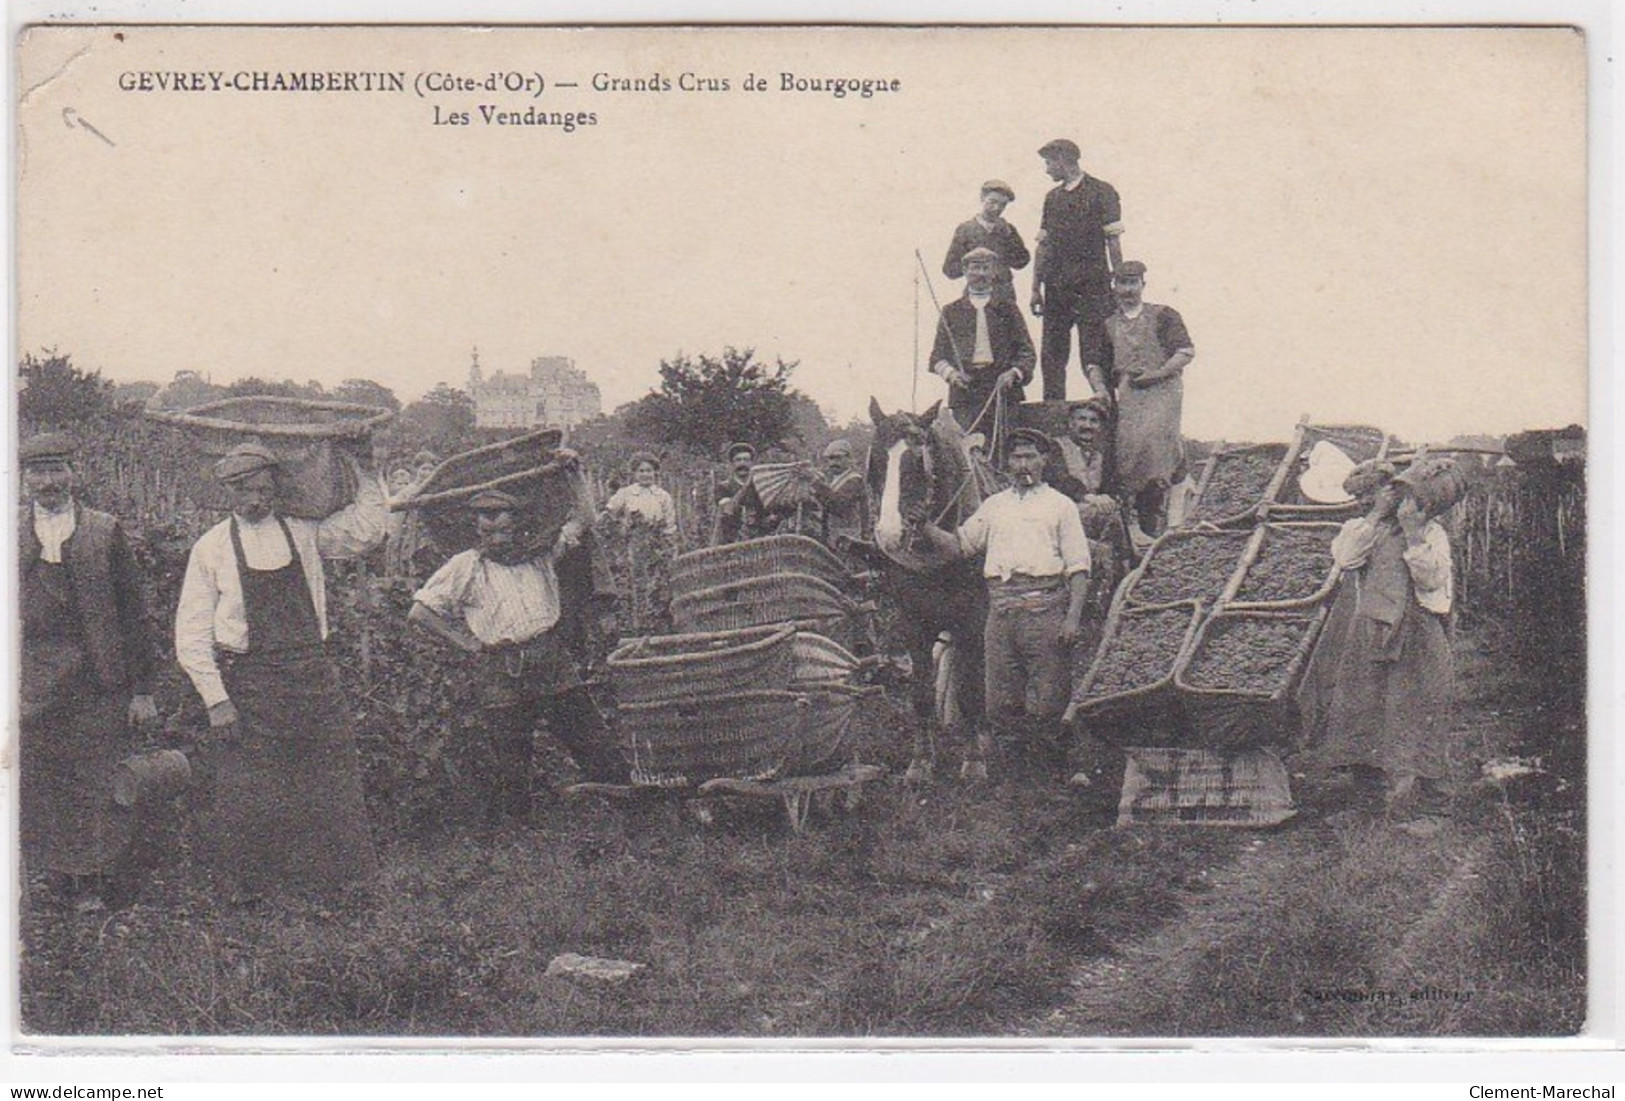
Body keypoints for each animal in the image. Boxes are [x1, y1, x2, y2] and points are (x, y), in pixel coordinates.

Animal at [864, 396, 1001, 785]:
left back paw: (982, 733)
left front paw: (974, 760)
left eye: (916, 464)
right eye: (875, 462)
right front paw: (921, 763)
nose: (889, 535)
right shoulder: (912, 620)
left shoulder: (973, 618)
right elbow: (921, 694)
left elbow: (972, 688)